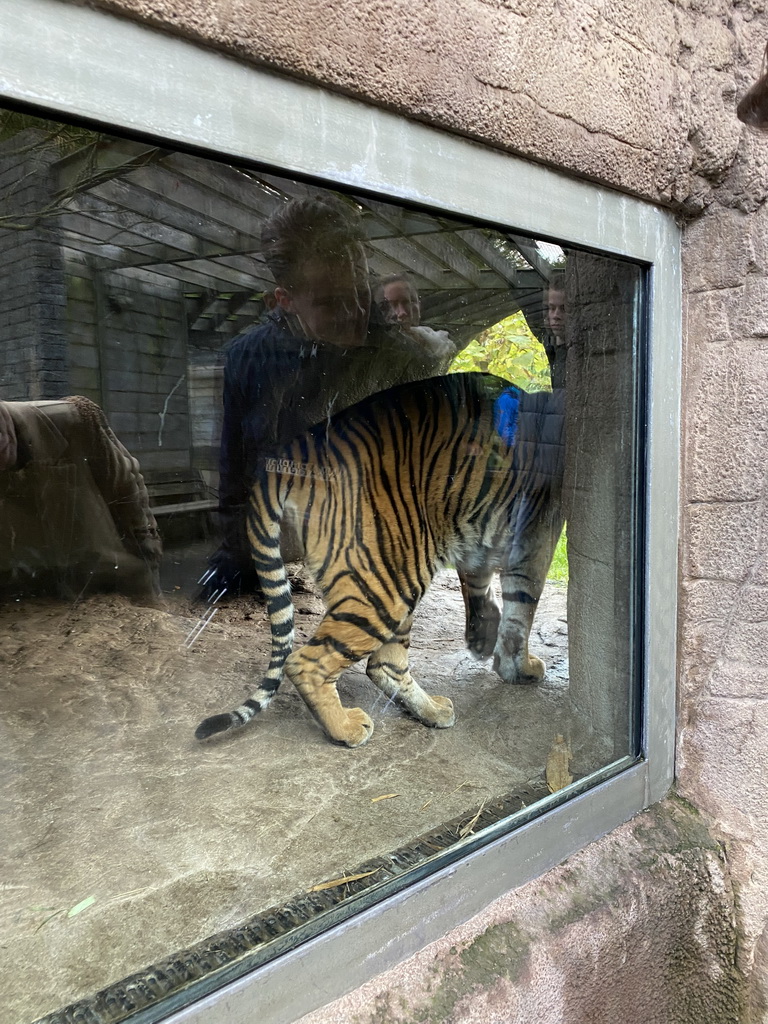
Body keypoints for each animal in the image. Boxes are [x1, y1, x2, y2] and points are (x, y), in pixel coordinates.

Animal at [193, 372, 565, 749]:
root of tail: (290, 451)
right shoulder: (537, 529)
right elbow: (524, 601)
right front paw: (519, 668)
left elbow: (480, 582)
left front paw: (483, 638)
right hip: (385, 582)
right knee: (306, 662)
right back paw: (347, 729)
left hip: (397, 572)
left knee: (384, 663)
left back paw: (432, 711)